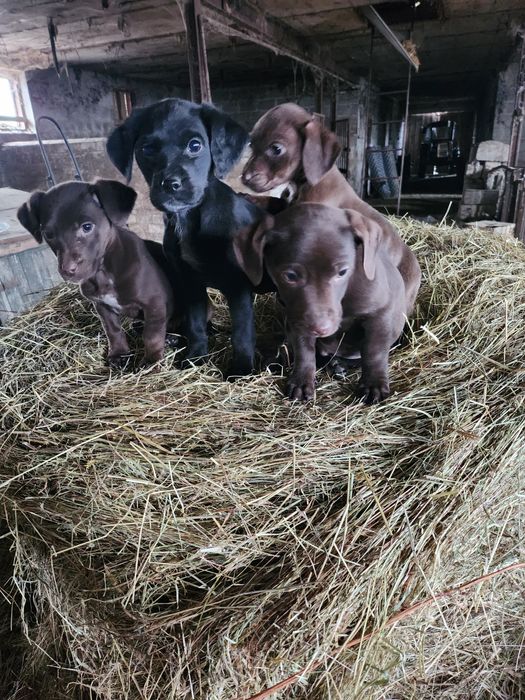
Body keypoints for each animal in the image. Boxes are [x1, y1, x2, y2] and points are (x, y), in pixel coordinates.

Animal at [17, 178, 177, 370]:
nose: (67, 270)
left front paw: (151, 361)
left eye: (87, 227)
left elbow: (152, 335)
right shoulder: (102, 306)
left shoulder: (155, 302)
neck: (103, 273)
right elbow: (113, 331)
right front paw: (119, 354)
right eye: (48, 234)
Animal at [105, 98, 270, 378]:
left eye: (195, 145)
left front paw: (241, 369)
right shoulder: (190, 280)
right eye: (147, 148)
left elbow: (242, 332)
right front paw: (196, 356)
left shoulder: (238, 285)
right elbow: (195, 324)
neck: (188, 218)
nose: (170, 184)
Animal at [233, 202, 418, 404]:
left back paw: (340, 364)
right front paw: (301, 381)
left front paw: (373, 384)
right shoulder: (297, 319)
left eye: (343, 272)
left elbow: (373, 351)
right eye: (290, 276)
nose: (320, 329)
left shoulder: (381, 314)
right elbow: (304, 350)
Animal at [243, 102, 422, 312]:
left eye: (276, 148)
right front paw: (249, 198)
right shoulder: (286, 203)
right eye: (251, 145)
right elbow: (273, 202)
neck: (305, 182)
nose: (244, 178)